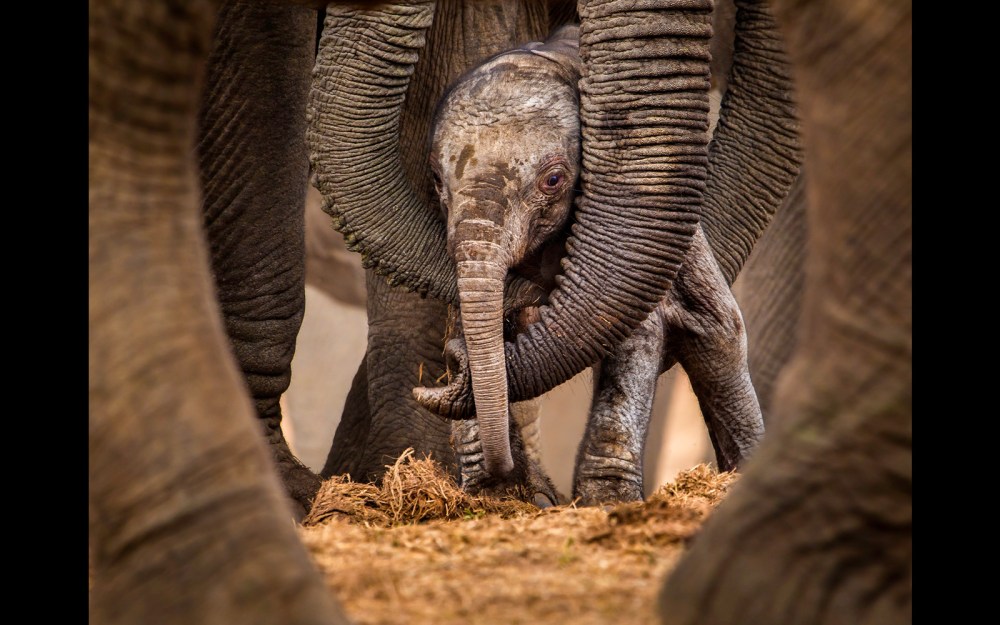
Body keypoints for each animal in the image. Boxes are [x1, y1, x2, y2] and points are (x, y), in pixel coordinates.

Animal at [415, 23, 763, 505]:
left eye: (553, 180)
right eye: (435, 179)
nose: (444, 368)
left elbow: (636, 325)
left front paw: (607, 502)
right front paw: (496, 495)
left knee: (718, 330)